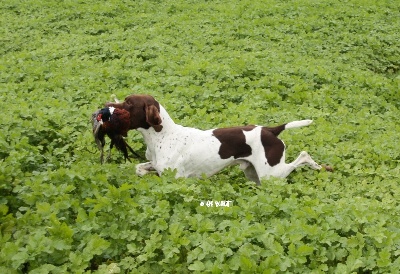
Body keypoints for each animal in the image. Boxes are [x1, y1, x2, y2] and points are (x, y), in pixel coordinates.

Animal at [101, 94, 328, 184]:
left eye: (129, 103)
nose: (105, 107)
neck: (161, 136)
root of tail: (271, 130)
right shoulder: (156, 165)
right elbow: (139, 168)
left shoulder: (176, 179)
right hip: (253, 174)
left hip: (272, 173)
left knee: (303, 156)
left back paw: (317, 166)